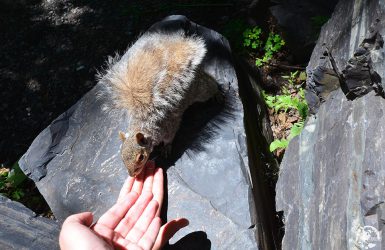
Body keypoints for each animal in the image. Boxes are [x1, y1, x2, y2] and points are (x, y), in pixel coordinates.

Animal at [97, 31, 220, 177]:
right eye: (121, 156)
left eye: (141, 157)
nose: (132, 175)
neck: (144, 126)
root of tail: (197, 71)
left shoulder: (168, 127)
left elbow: (170, 138)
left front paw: (166, 148)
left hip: (200, 90)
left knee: (210, 85)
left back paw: (218, 93)